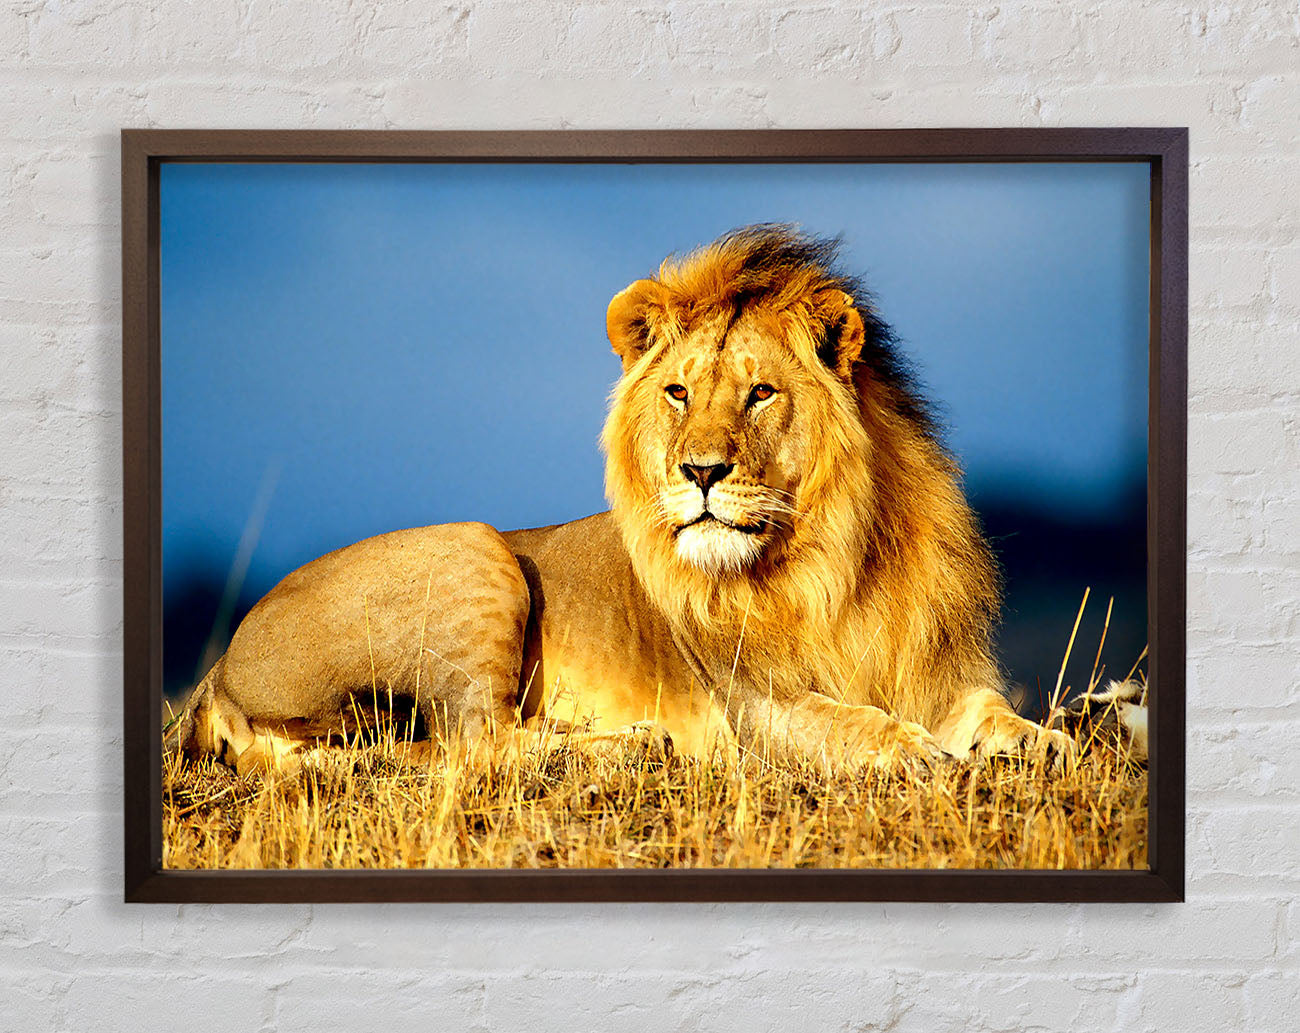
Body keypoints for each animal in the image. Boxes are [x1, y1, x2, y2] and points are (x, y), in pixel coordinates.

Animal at [165, 224, 1074, 776]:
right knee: (474, 744)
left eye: (761, 393)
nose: (700, 471)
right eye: (678, 392)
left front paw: (1047, 741)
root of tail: (216, 671)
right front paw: (915, 752)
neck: (835, 560)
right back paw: (633, 744)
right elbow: (851, 723)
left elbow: (992, 709)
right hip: (474, 547)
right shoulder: (756, 708)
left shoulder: (936, 669)